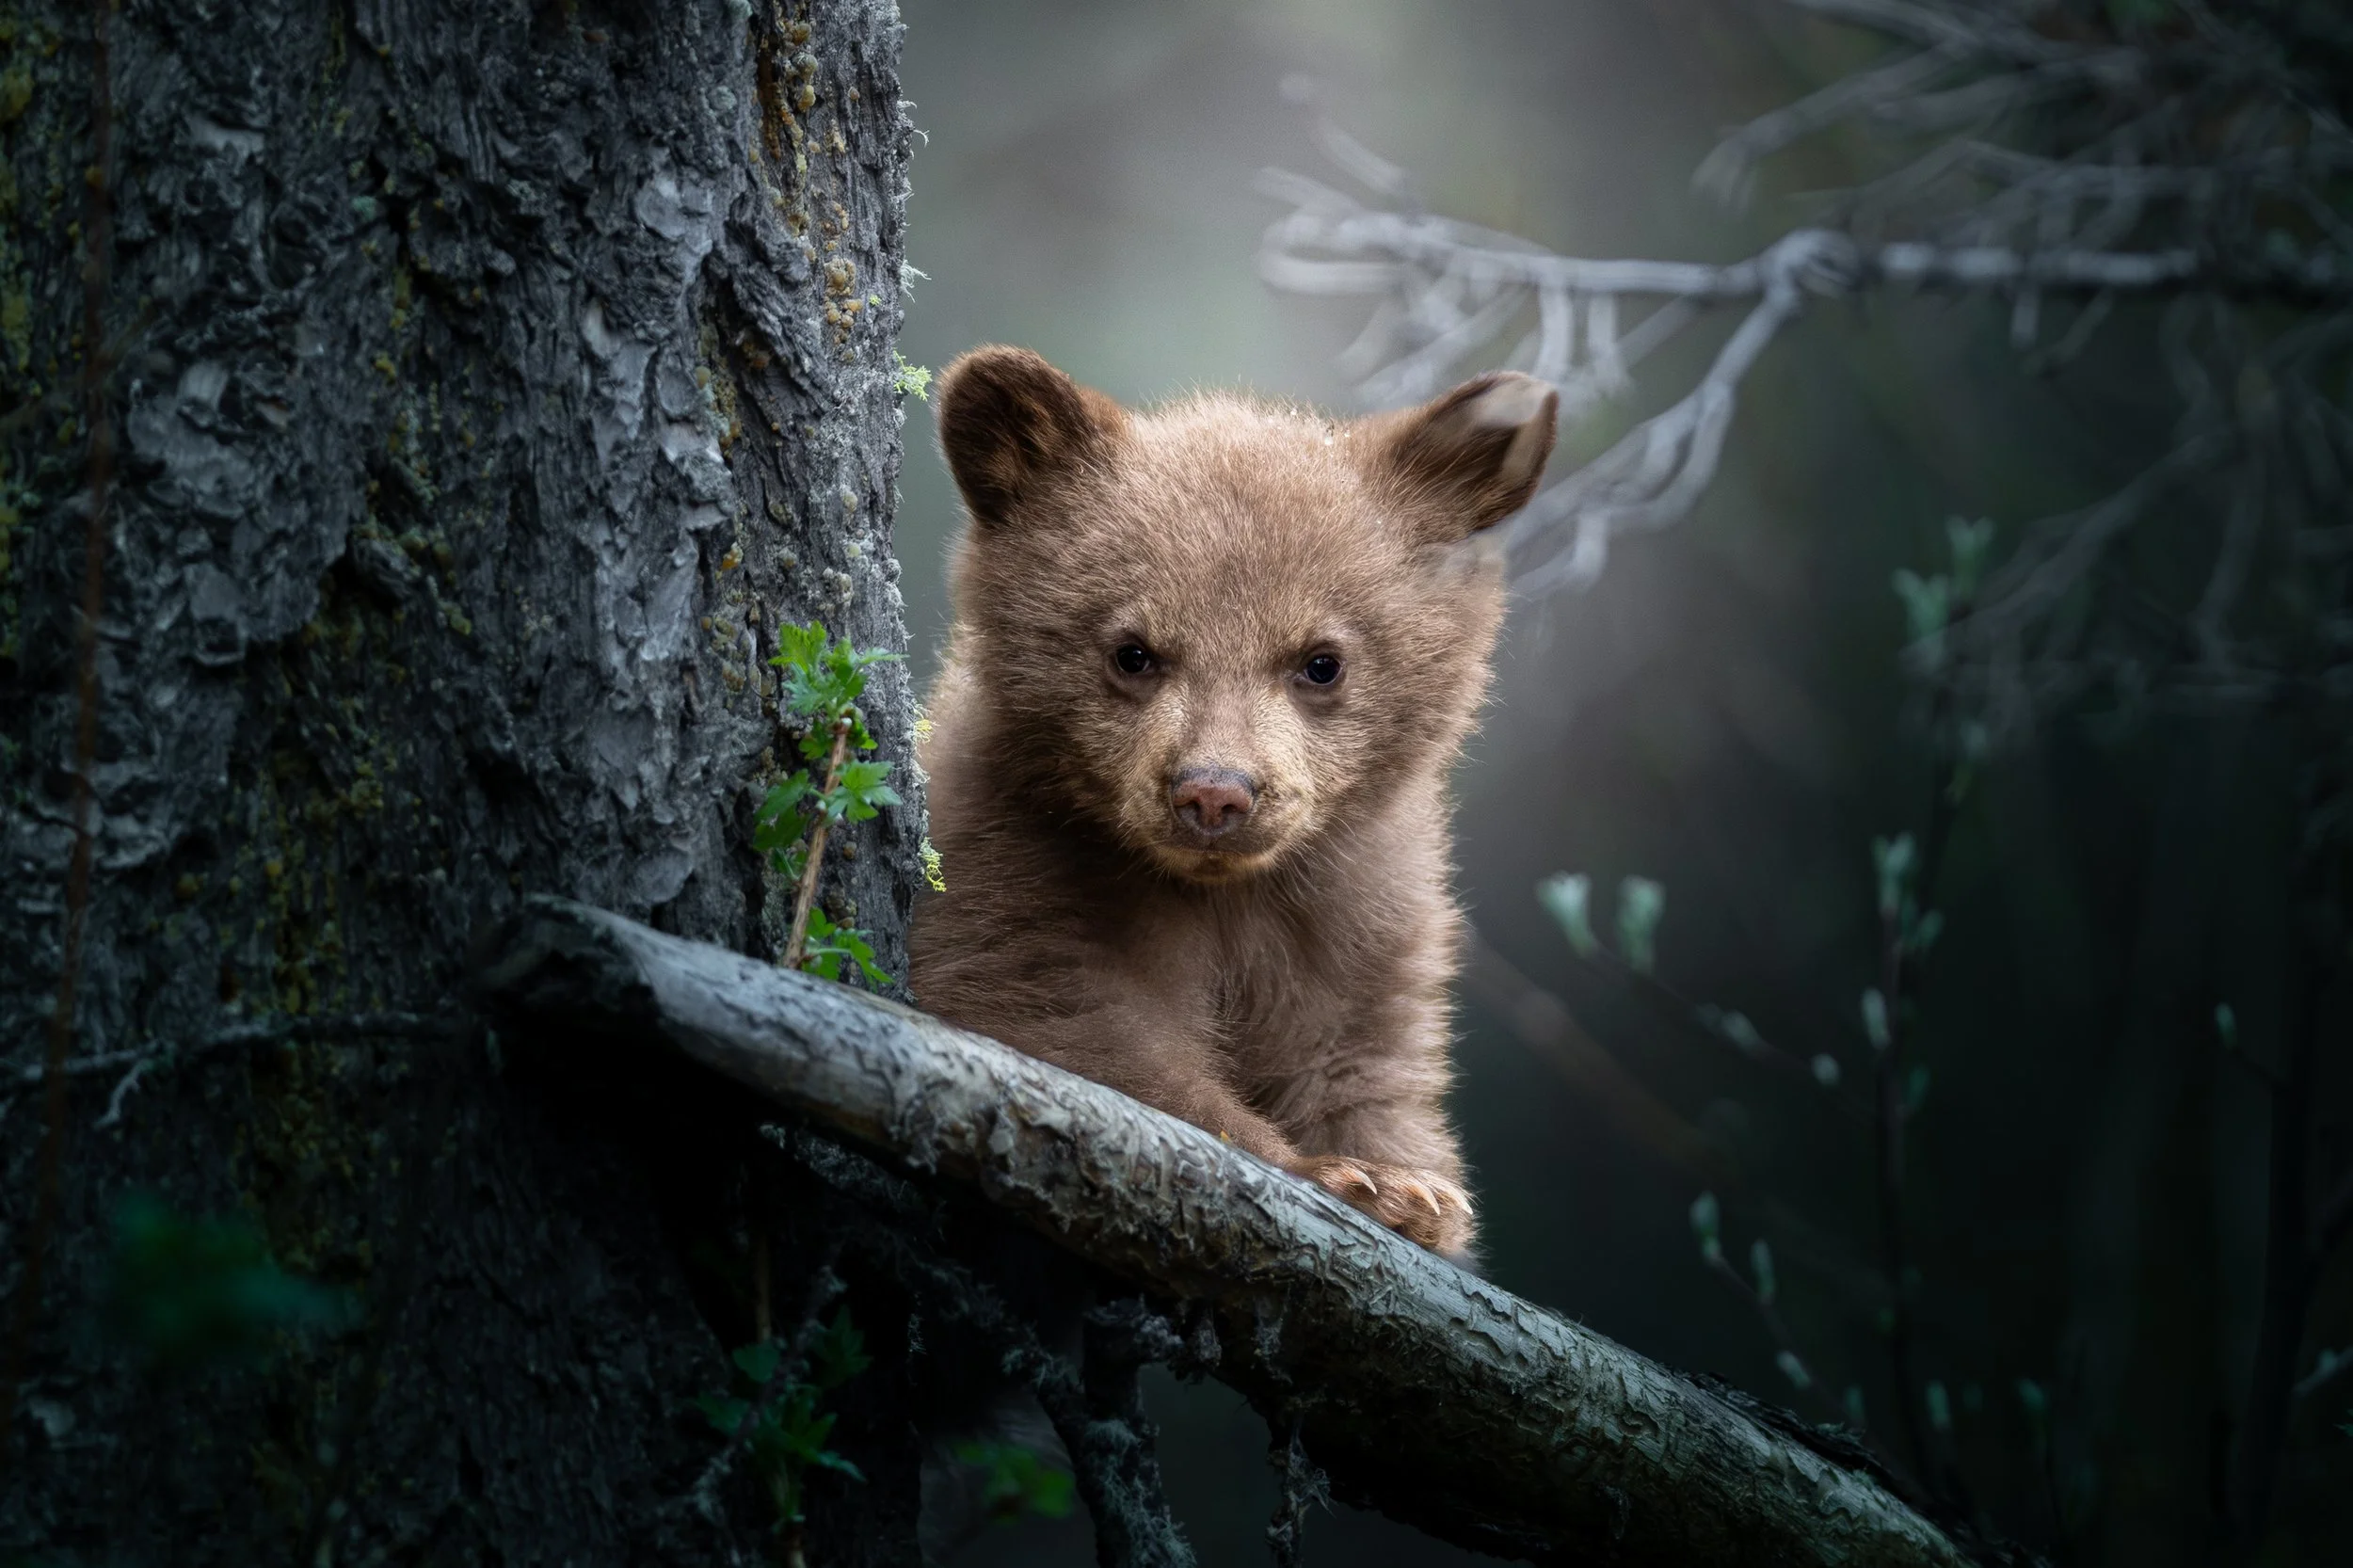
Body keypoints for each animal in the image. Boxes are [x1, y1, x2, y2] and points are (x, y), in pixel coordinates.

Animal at [908, 346, 1557, 1257]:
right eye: (1132, 652)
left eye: (1322, 661)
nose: (1215, 794)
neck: (1222, 896)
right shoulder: (1002, 861)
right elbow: (1057, 1021)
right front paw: (1340, 1175)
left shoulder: (1358, 915)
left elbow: (1364, 1061)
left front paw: (1408, 1187)